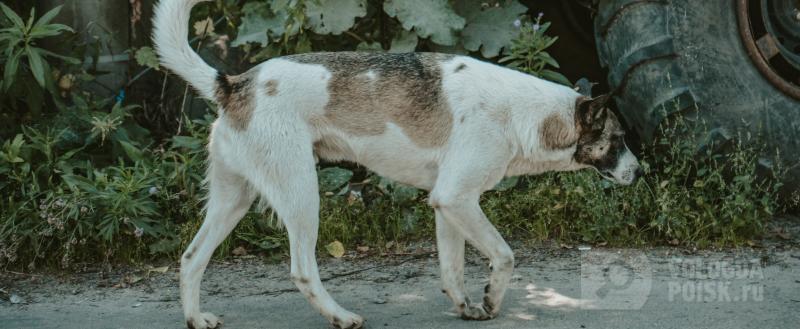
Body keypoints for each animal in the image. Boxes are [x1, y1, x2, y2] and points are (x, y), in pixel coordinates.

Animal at [155, 1, 644, 326]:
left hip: (232, 201)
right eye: (618, 139)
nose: (641, 172)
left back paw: (196, 318)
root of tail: (235, 83)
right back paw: (340, 315)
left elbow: (452, 268)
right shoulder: (458, 200)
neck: (524, 112)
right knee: (302, 270)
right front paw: (491, 299)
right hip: (301, 195)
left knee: (191, 258)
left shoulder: (449, 204)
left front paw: (466, 306)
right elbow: (504, 255)